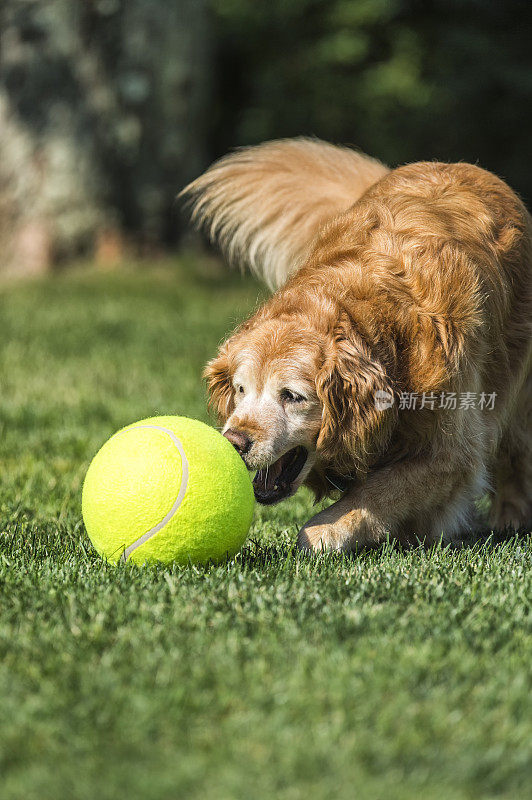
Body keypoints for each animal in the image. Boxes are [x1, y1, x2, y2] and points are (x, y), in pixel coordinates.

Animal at [181, 139, 528, 552]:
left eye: (292, 396)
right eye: (240, 390)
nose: (234, 441)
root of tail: (459, 165)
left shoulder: (451, 449)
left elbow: (379, 491)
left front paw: (325, 529)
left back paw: (510, 519)